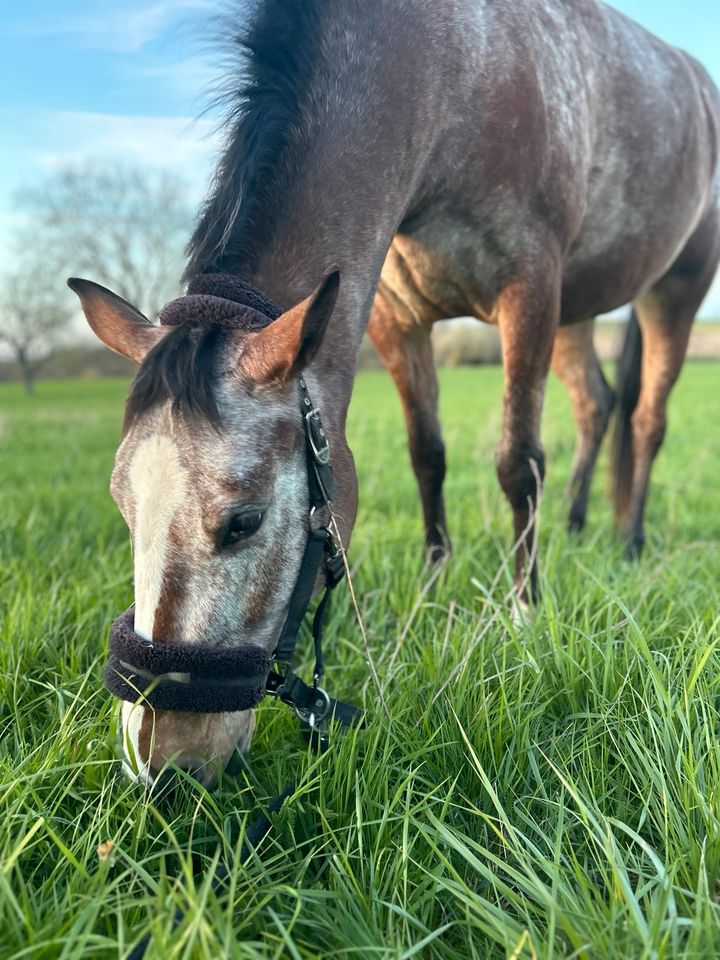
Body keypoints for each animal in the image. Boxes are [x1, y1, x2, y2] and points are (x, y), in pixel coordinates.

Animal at [69, 0, 720, 788]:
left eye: (244, 522)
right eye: (122, 504)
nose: (162, 763)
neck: (453, 72)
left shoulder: (530, 289)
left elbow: (518, 462)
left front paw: (523, 612)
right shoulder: (397, 317)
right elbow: (426, 454)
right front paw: (435, 584)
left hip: (672, 291)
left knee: (646, 419)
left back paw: (628, 541)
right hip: (579, 311)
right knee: (596, 404)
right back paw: (574, 525)